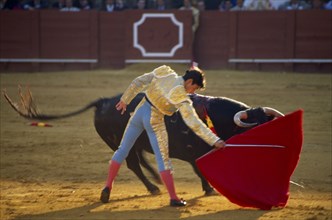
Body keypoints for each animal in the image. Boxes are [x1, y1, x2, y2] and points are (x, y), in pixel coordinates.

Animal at [1, 87, 282, 194]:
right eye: (260, 124)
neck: (211, 115)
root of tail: (103, 101)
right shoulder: (194, 153)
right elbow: (201, 169)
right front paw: (210, 189)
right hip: (120, 142)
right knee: (132, 164)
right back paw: (153, 187)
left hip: (135, 142)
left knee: (140, 160)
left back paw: (156, 180)